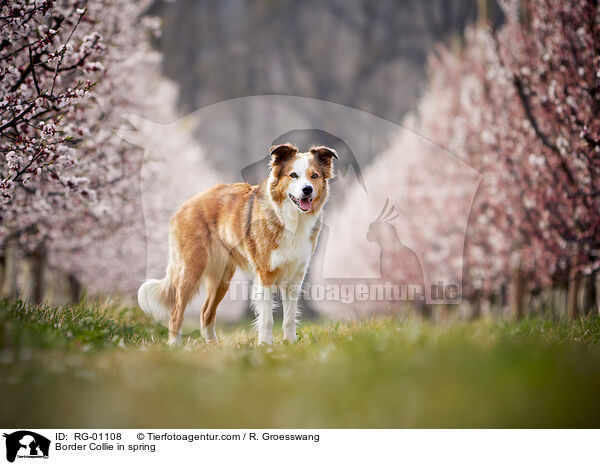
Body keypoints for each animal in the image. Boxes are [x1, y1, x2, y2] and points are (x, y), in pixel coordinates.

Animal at [138, 143, 340, 342]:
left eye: (314, 176)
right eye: (293, 175)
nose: (308, 190)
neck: (291, 220)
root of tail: (185, 204)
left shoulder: (294, 277)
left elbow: (289, 319)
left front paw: (290, 344)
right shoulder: (266, 275)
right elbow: (267, 319)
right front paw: (266, 345)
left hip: (222, 277)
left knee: (206, 312)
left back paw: (213, 345)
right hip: (192, 268)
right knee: (176, 312)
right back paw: (175, 345)